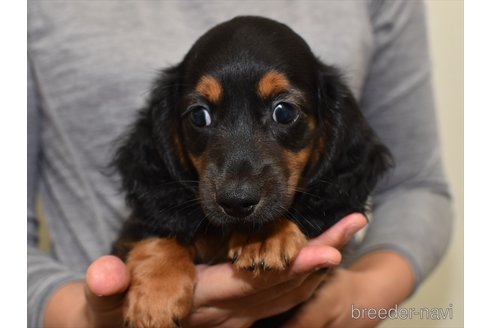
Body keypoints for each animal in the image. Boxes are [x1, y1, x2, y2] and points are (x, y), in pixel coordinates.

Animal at [111, 15, 392, 328]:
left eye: (284, 111)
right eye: (199, 115)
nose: (236, 201)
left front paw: (266, 235)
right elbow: (157, 231)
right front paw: (156, 292)